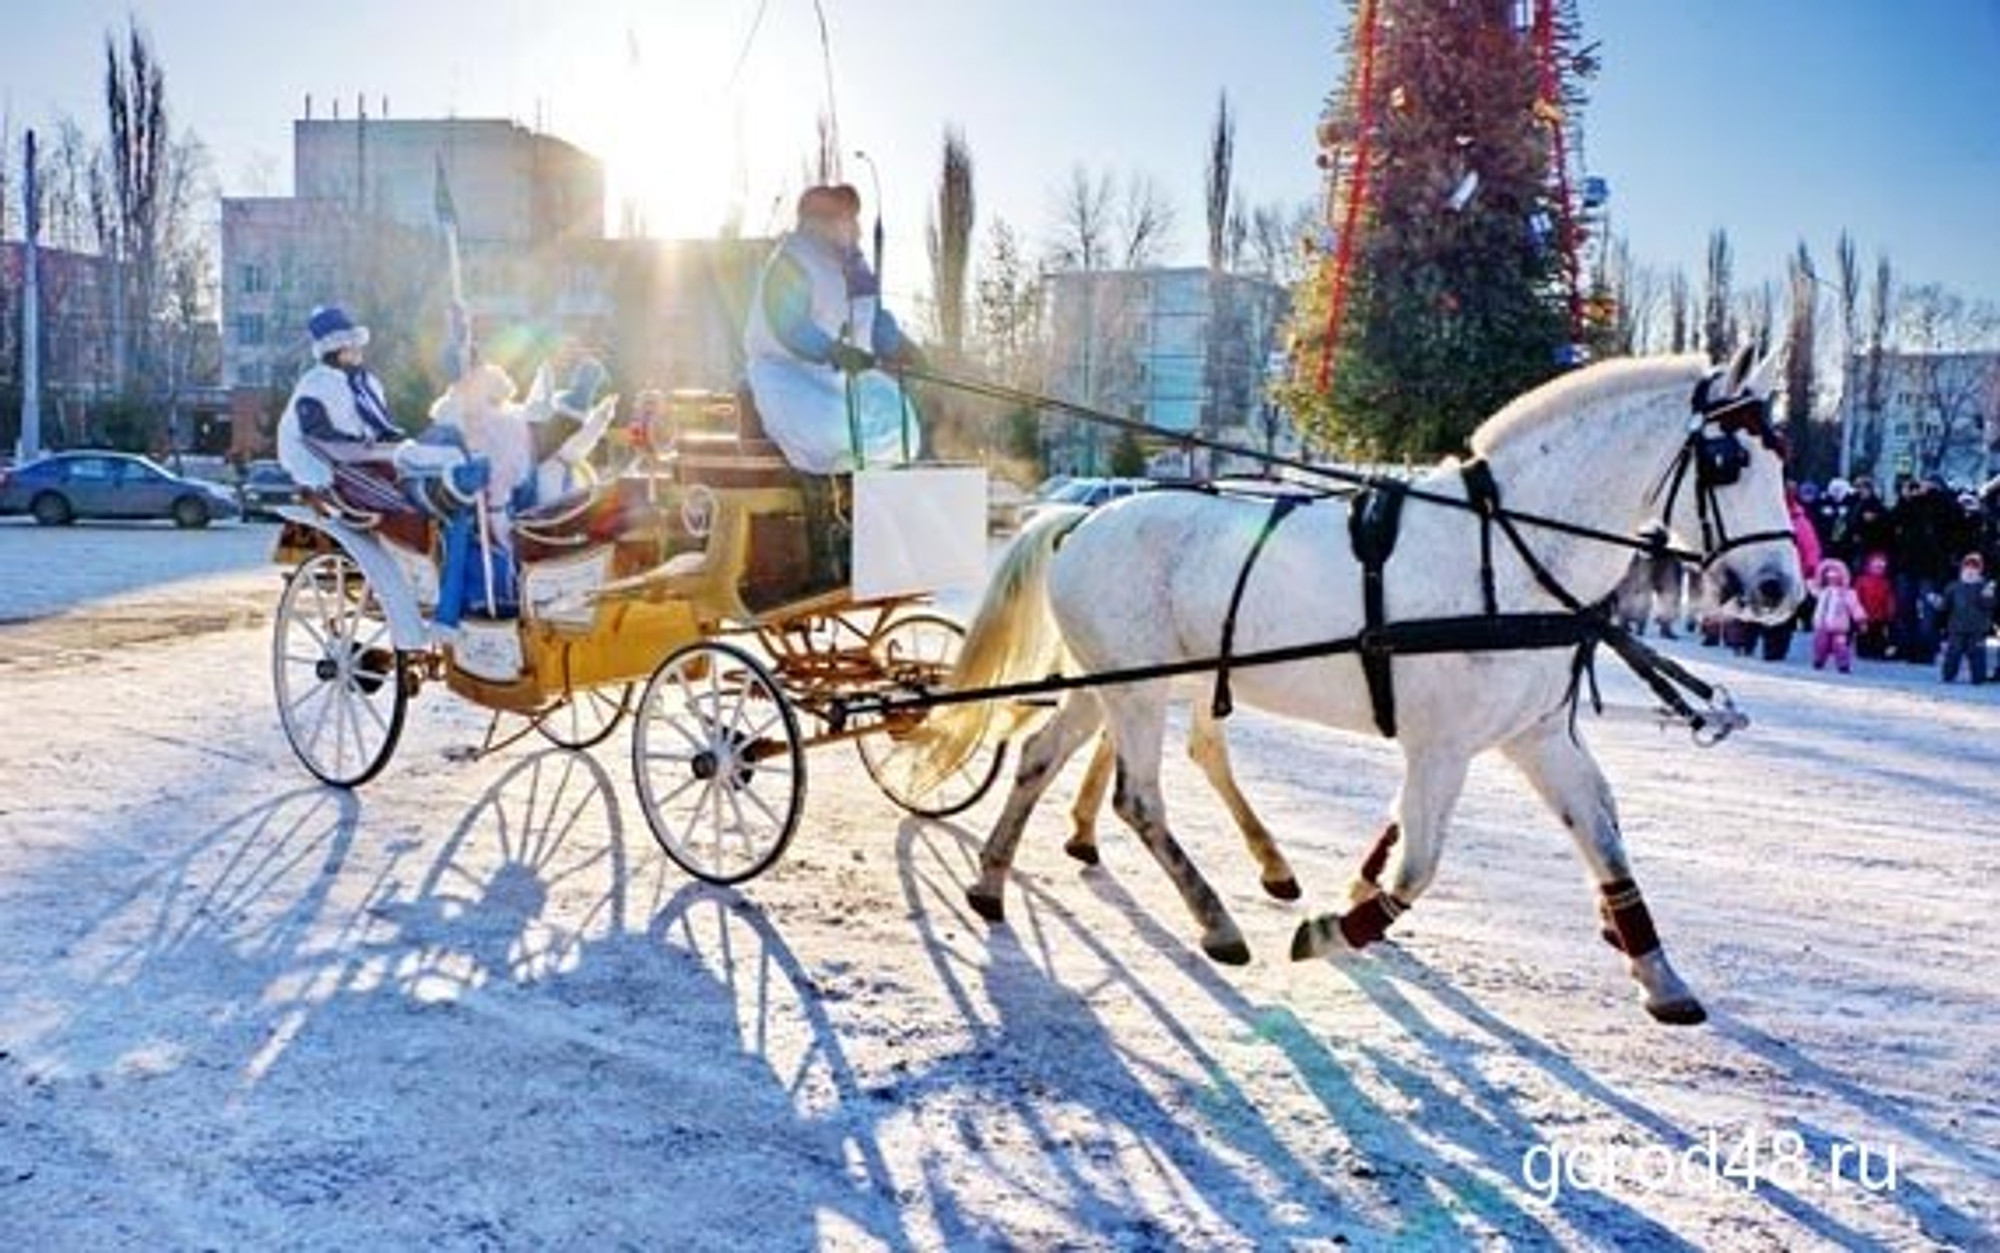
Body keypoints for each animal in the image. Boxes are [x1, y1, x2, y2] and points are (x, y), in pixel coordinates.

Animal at [908, 346, 1800, 1020]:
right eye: (1729, 461)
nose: (1779, 588)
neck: (1506, 554)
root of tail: (1083, 516)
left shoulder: (1539, 736)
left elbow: (1604, 836)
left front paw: (1659, 973)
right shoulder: (1441, 747)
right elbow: (1418, 865)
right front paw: (1339, 926)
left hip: (1113, 680)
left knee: (1038, 755)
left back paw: (991, 880)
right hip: (1135, 689)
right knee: (1138, 798)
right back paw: (1216, 920)